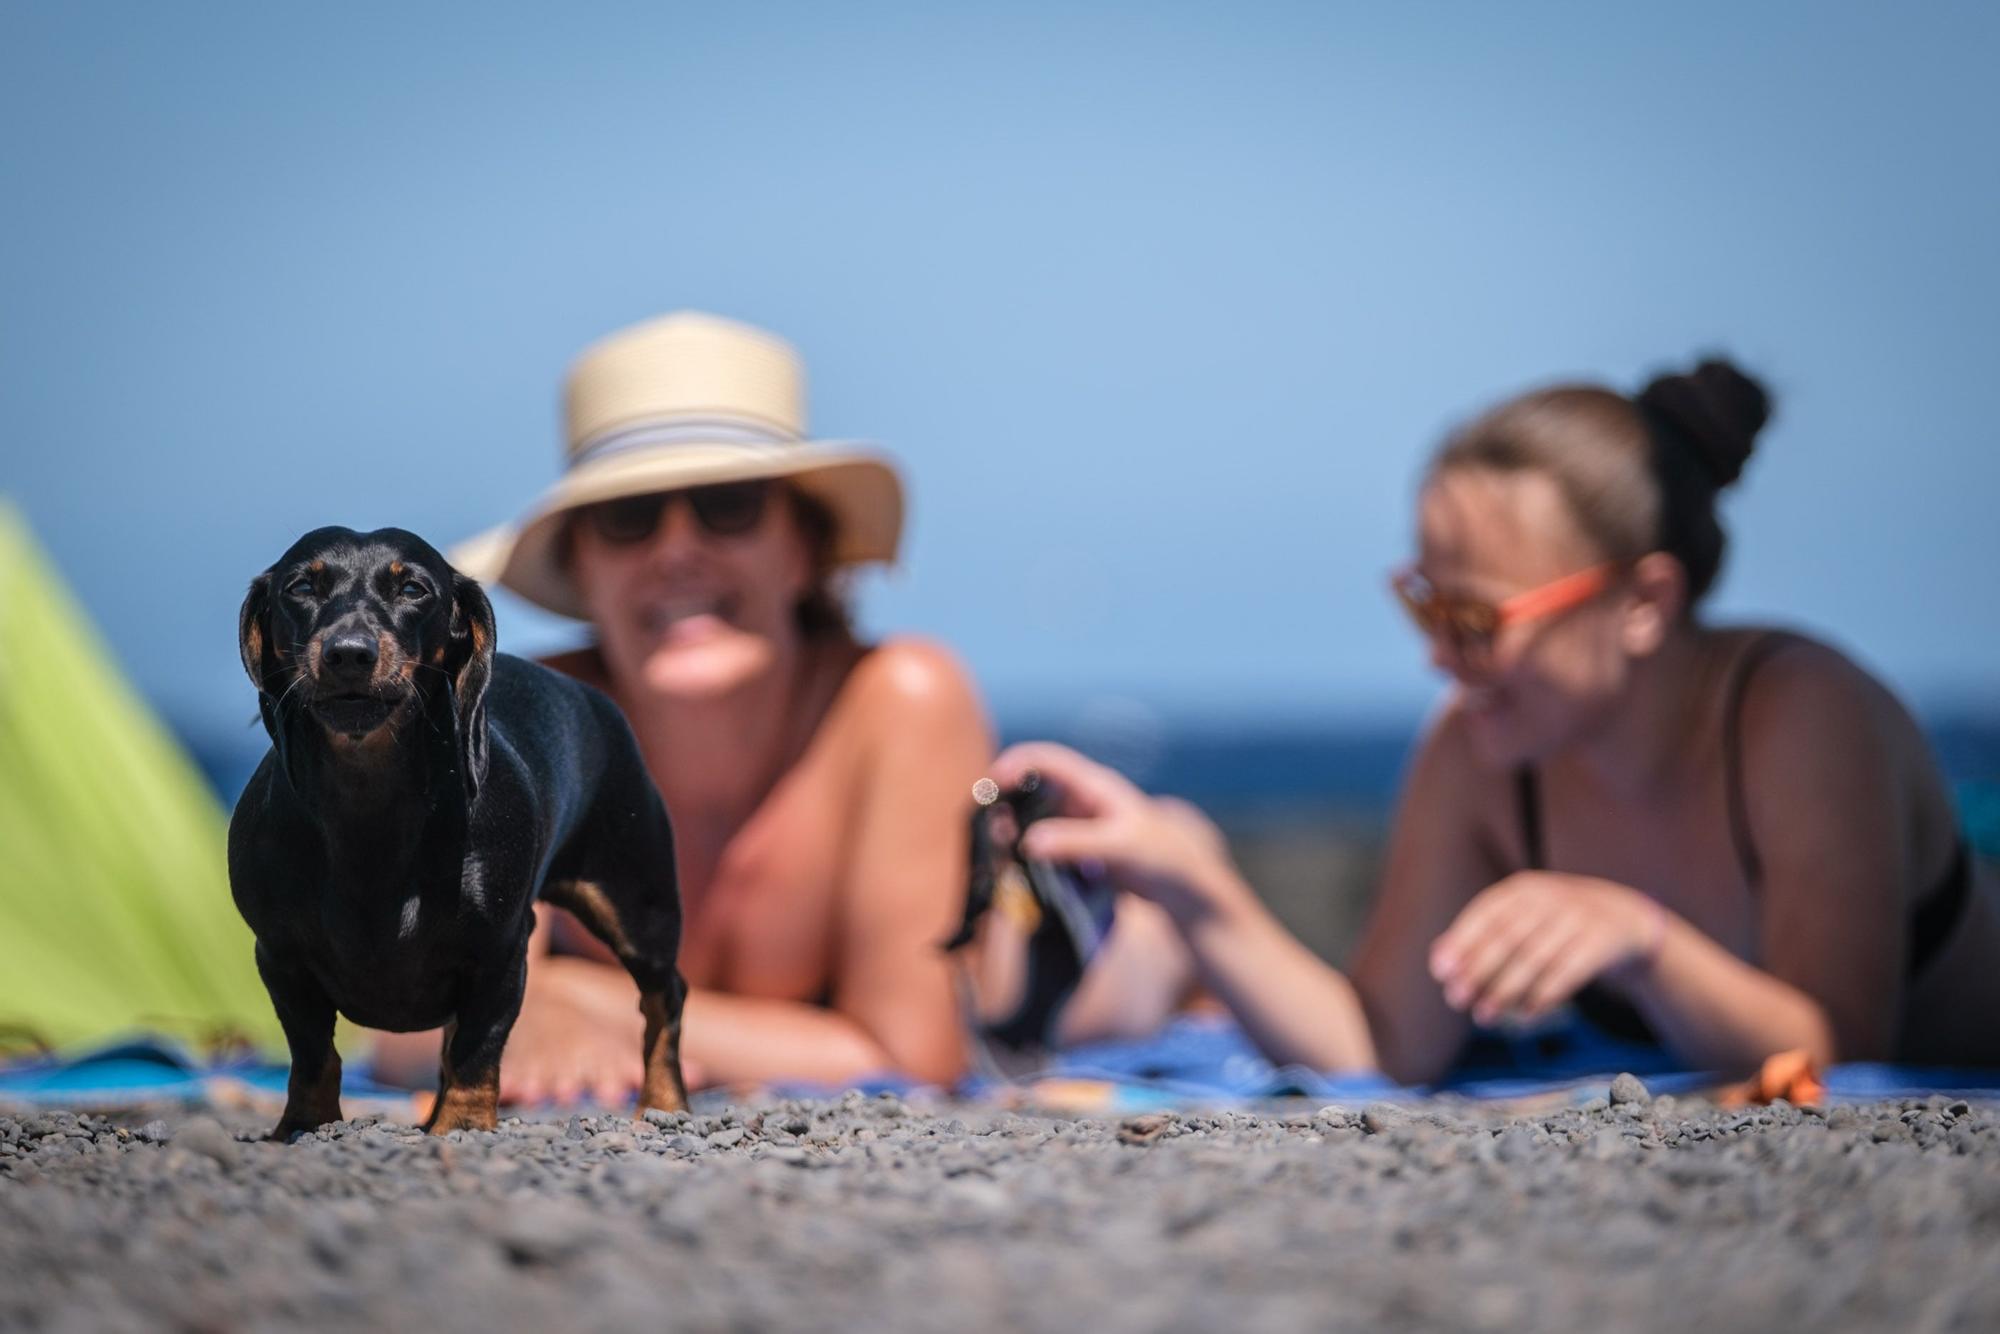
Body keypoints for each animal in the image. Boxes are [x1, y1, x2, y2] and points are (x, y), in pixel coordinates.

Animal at [230, 528, 688, 1136]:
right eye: (301, 586)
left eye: (413, 588)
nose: (349, 653)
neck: (368, 807)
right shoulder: (280, 957)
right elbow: (311, 1052)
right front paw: (305, 1124)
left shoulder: (500, 952)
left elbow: (478, 1048)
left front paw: (464, 1126)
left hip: (636, 906)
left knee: (664, 997)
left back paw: (665, 1102)